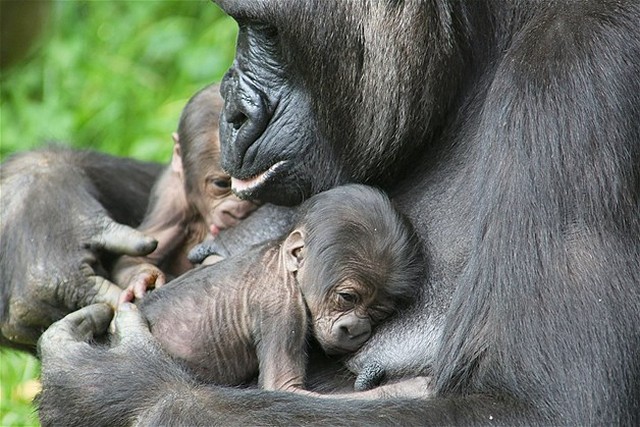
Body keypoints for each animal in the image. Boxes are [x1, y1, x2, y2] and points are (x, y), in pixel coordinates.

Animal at [138, 184, 423, 392]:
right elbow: (284, 387)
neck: (285, 267)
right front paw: (406, 389)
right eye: (347, 297)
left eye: (378, 313)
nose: (356, 328)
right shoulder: (282, 308)